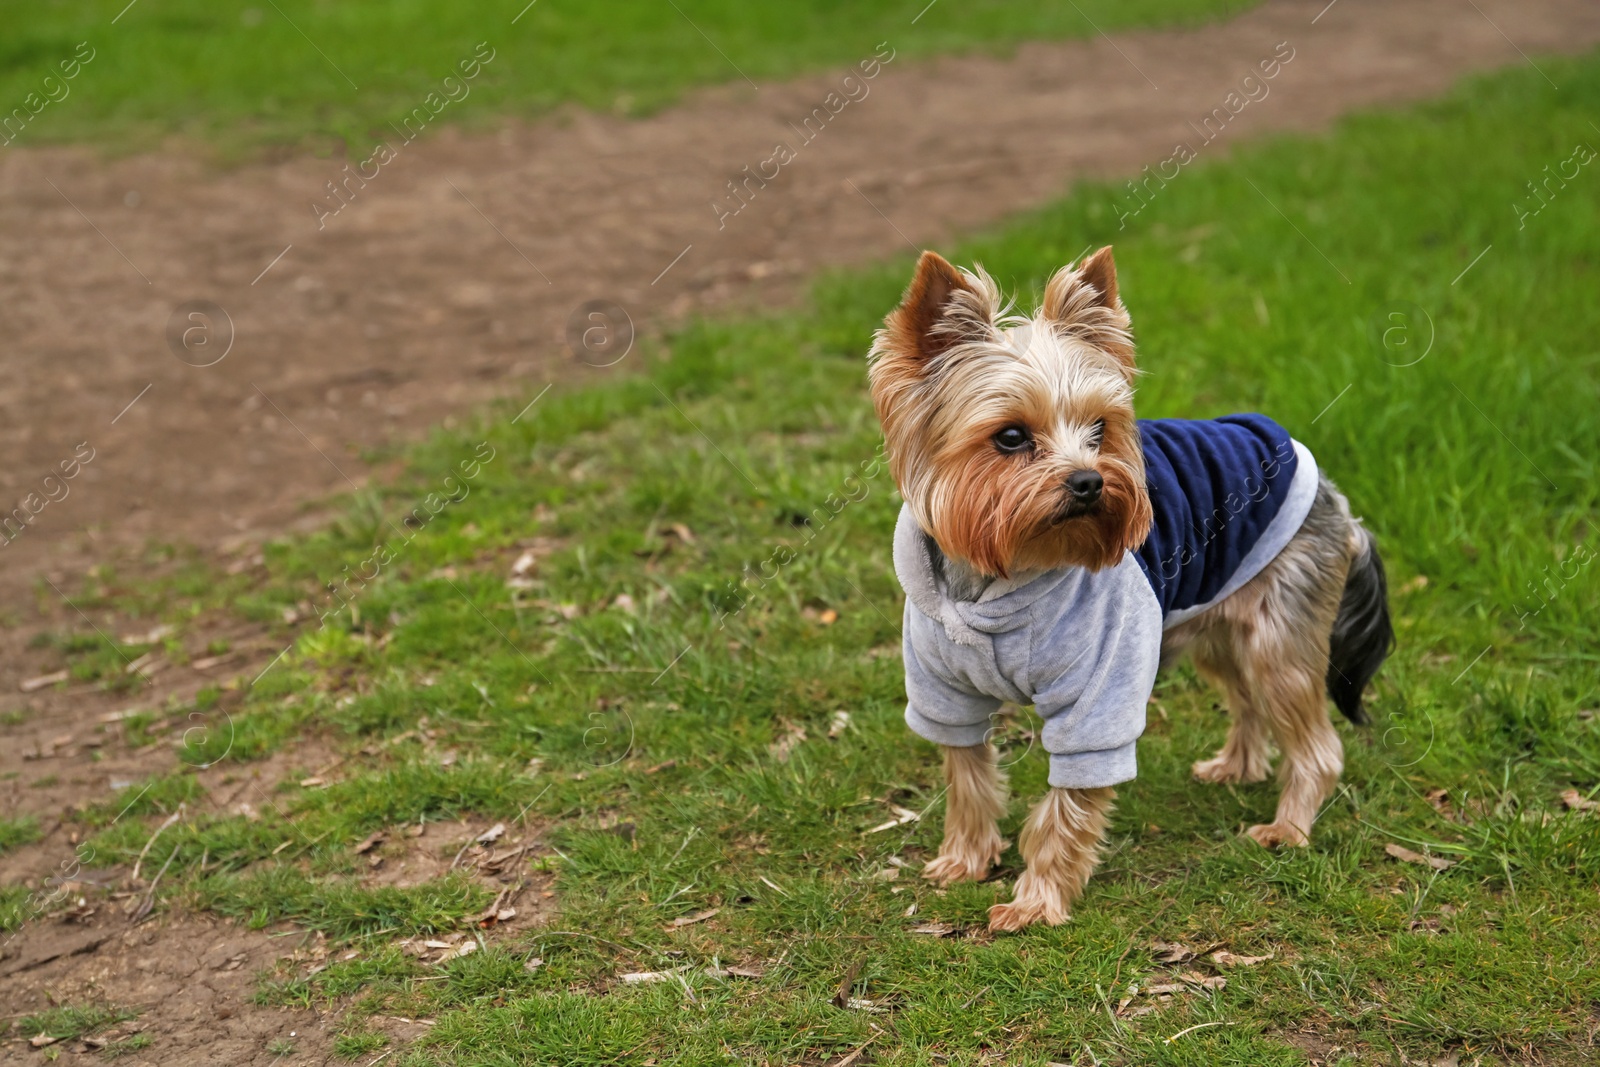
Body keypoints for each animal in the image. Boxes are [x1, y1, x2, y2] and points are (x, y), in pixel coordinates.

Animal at [870, 246, 1395, 927]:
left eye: (1099, 429)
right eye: (1010, 437)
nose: (1091, 481)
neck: (1001, 573)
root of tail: (1338, 499)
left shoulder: (1099, 692)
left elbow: (1066, 805)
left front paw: (1036, 901)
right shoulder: (945, 688)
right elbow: (968, 776)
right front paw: (964, 861)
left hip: (1278, 632)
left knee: (1313, 739)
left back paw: (1287, 829)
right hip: (1221, 623)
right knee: (1246, 696)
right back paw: (1236, 768)